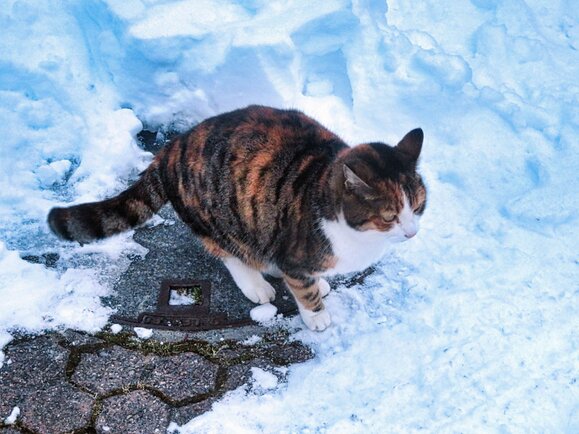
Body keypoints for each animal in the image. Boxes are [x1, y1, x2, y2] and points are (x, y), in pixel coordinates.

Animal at [48, 105, 426, 331]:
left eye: (420, 205)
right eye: (390, 216)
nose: (411, 233)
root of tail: (171, 148)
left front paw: (317, 283)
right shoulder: (297, 250)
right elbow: (303, 290)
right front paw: (317, 316)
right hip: (218, 215)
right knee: (228, 250)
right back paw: (256, 283)